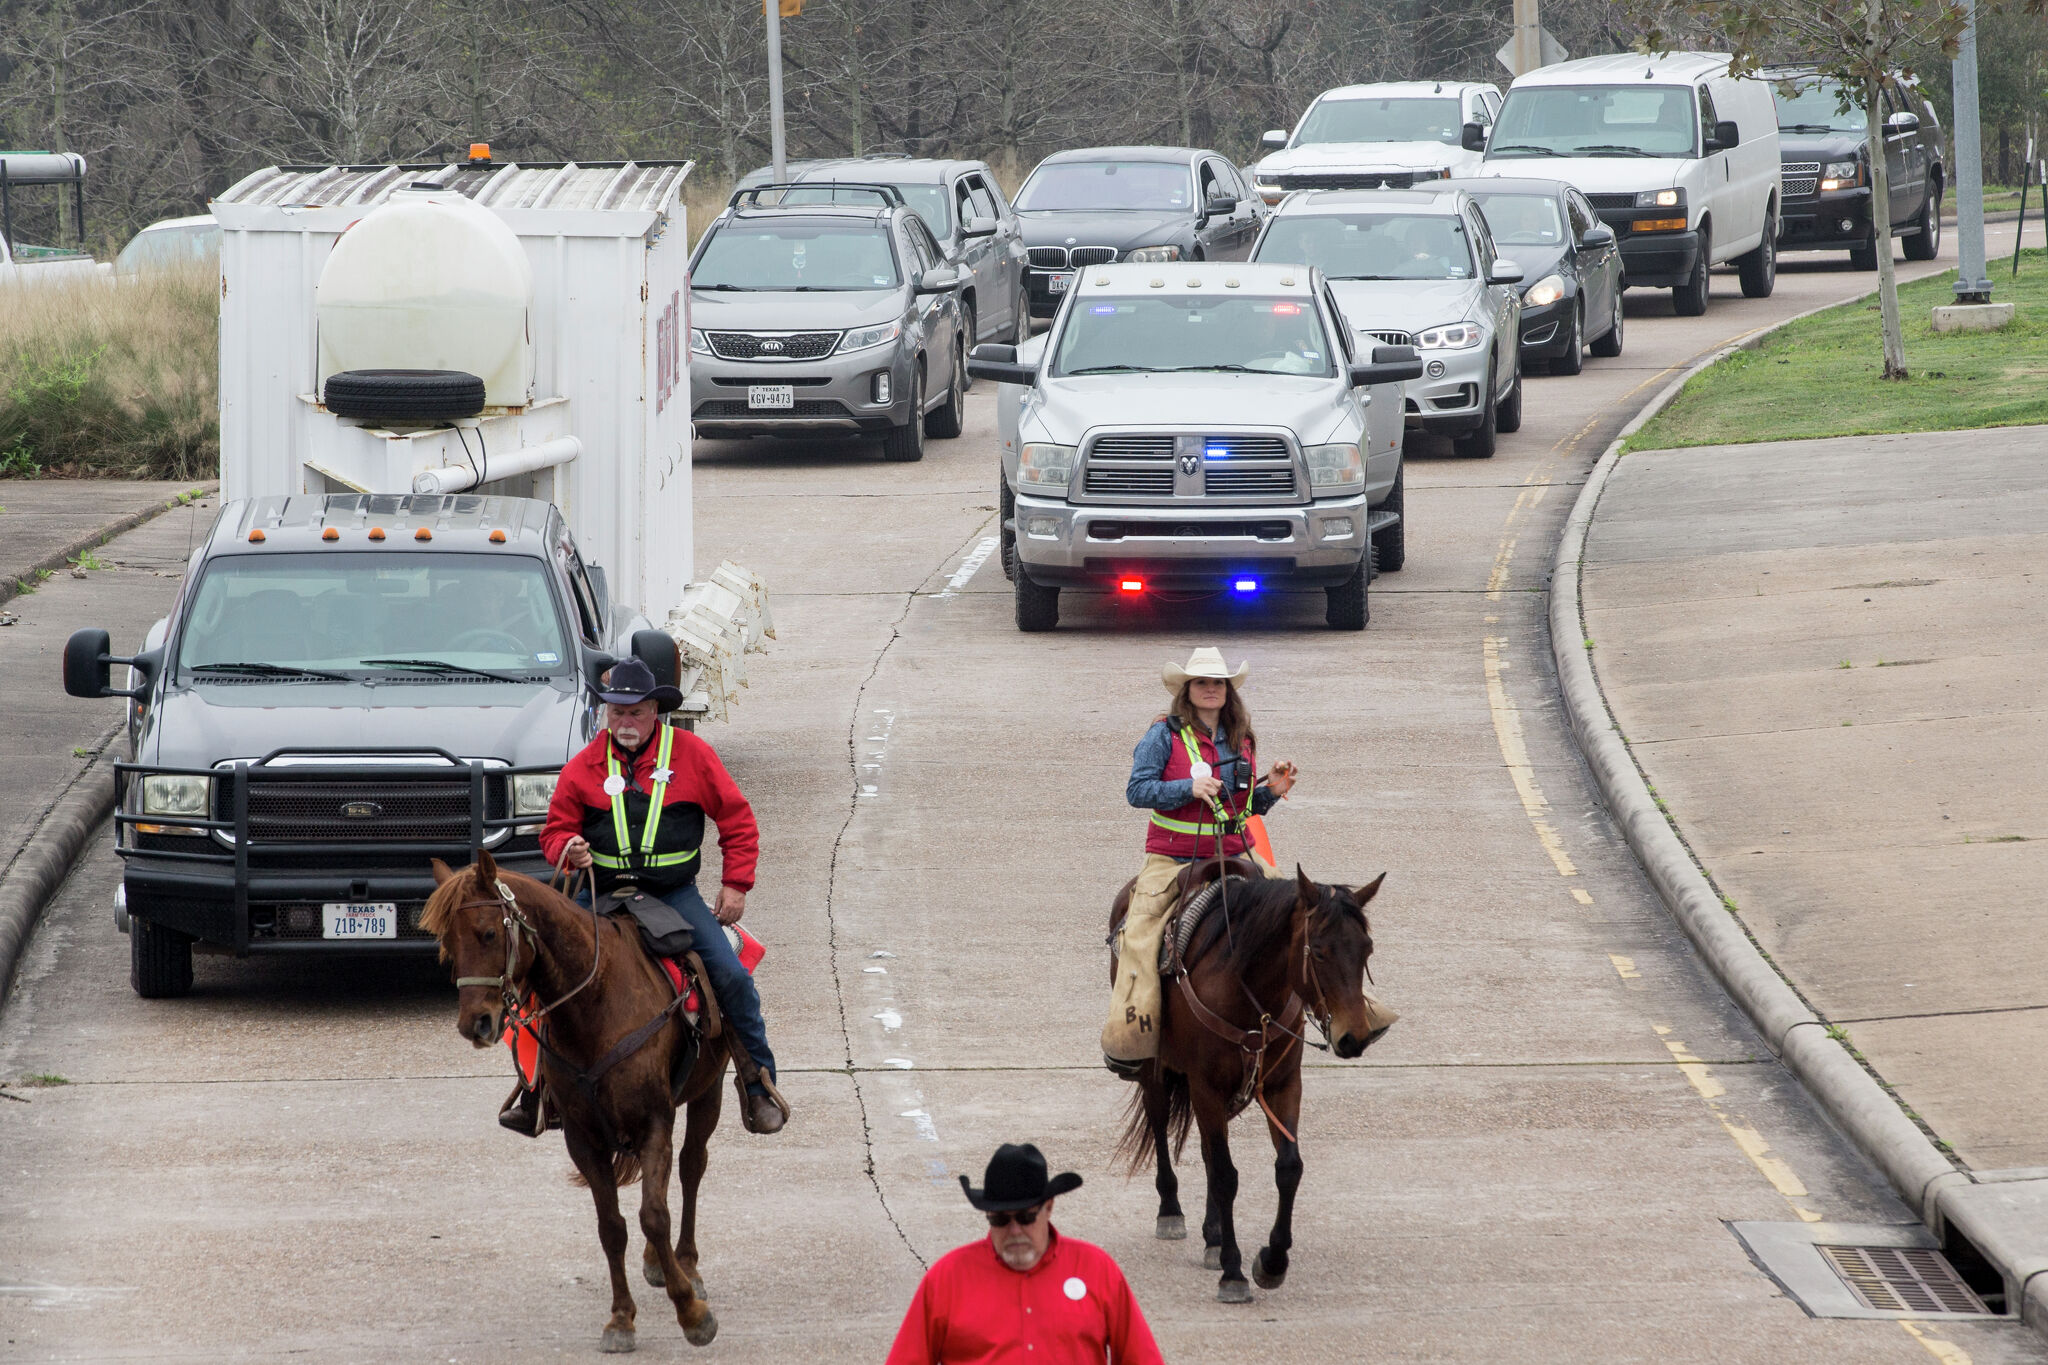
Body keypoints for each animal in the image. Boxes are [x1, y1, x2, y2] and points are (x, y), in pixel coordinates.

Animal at [415, 855, 729, 1358]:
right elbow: (613, 1227)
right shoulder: (584, 1139)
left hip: (709, 1091)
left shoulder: (653, 1123)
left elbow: (654, 1216)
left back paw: (687, 1265)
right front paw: (621, 1319)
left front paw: (692, 1313)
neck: (596, 1004)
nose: (474, 1024)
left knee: (691, 1167)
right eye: (447, 943)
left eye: (488, 933)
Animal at [1105, 863, 1392, 1301]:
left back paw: (1213, 1235)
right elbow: (1226, 1174)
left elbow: (1287, 1167)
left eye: (1367, 950)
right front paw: (1233, 1271)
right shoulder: (1205, 1085)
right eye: (1318, 951)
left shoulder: (1283, 1084)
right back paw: (1171, 1211)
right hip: (1153, 1066)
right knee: (1159, 1123)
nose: (1353, 1037)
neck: (1247, 986)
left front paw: (1271, 1262)